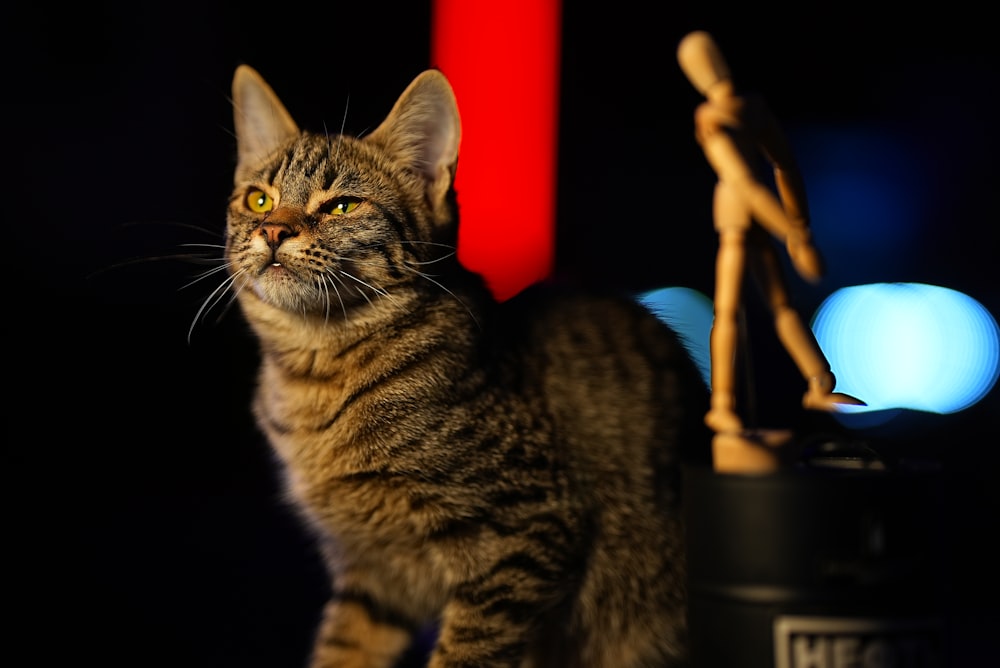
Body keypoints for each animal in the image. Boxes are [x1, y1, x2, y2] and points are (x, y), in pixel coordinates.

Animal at [224, 64, 716, 668]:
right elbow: (343, 649)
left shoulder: (526, 532)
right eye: (259, 200)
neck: (315, 376)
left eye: (342, 206)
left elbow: (466, 653)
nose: (272, 231)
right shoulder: (373, 577)